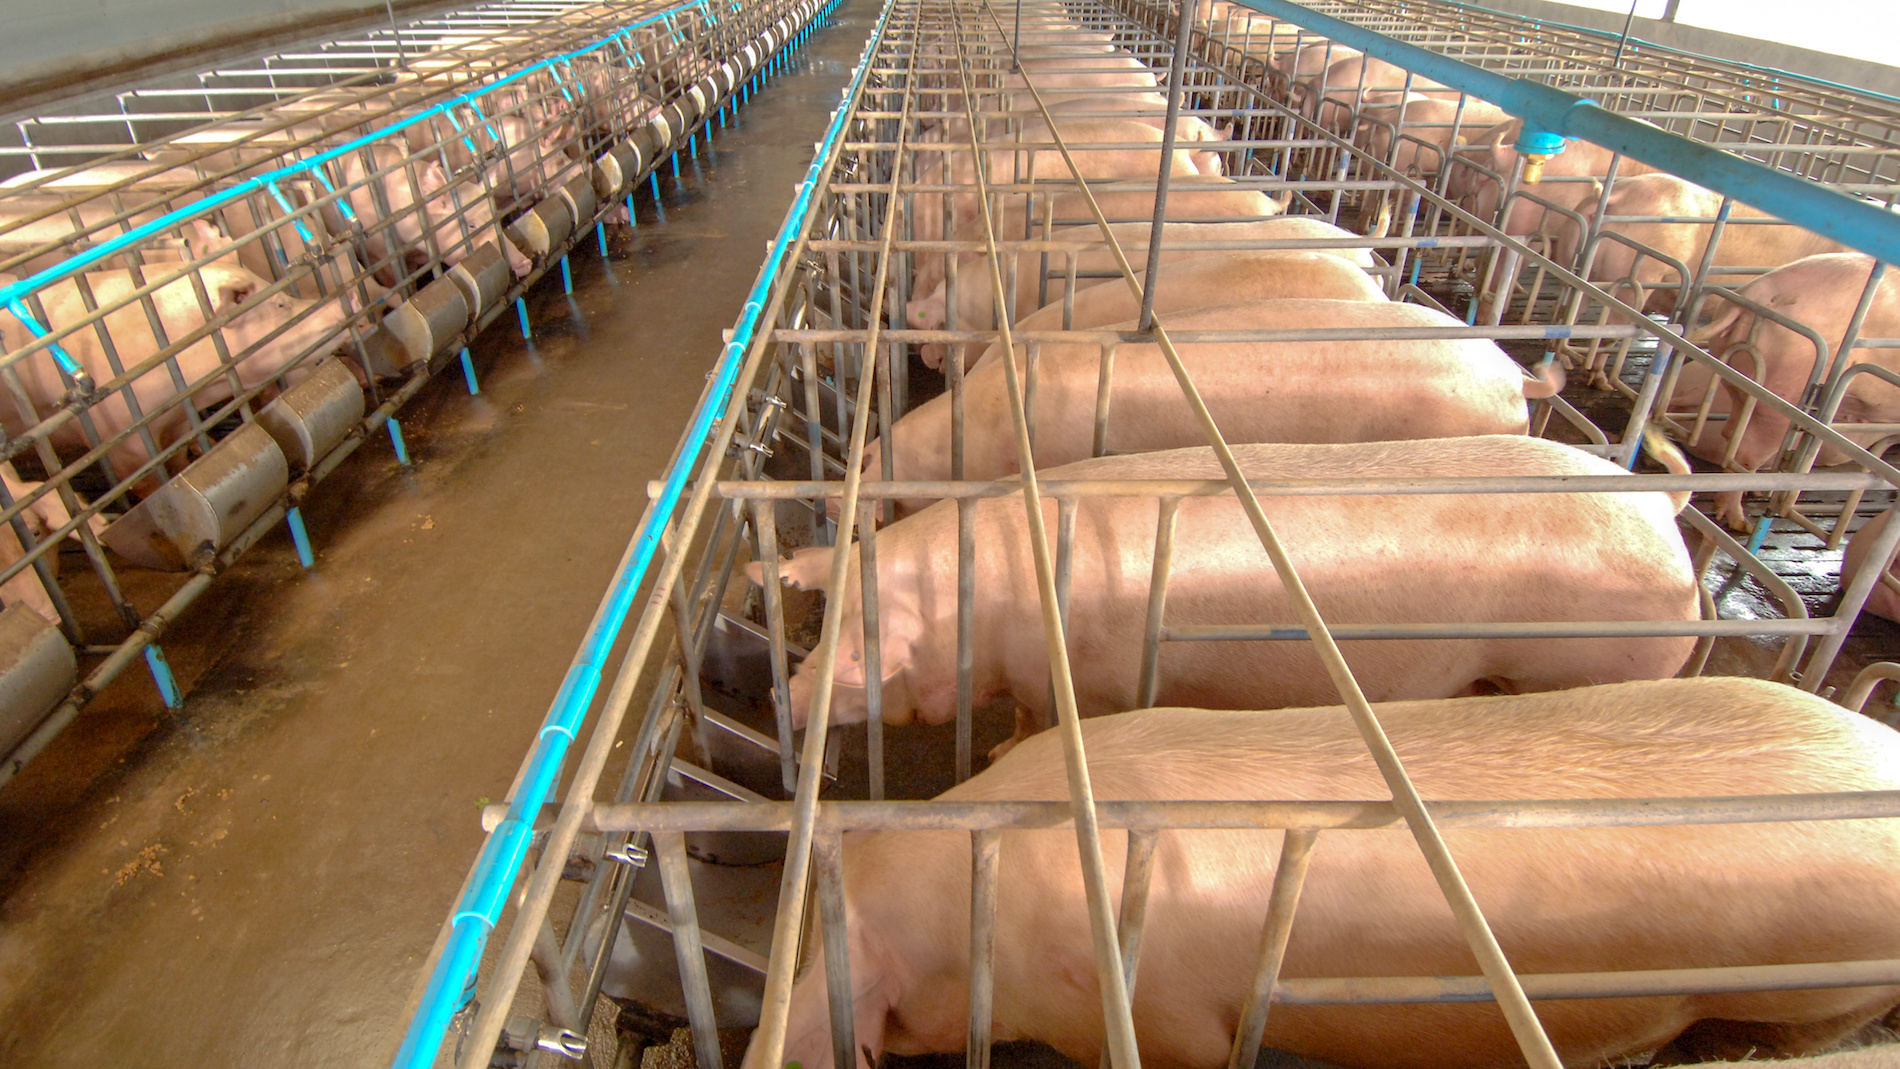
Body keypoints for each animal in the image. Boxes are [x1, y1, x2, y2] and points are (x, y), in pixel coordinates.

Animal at [0, 263, 349, 489]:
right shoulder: (119, 441)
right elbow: (148, 485)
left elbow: (180, 461)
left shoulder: (179, 420)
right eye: (279, 304)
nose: (344, 301)